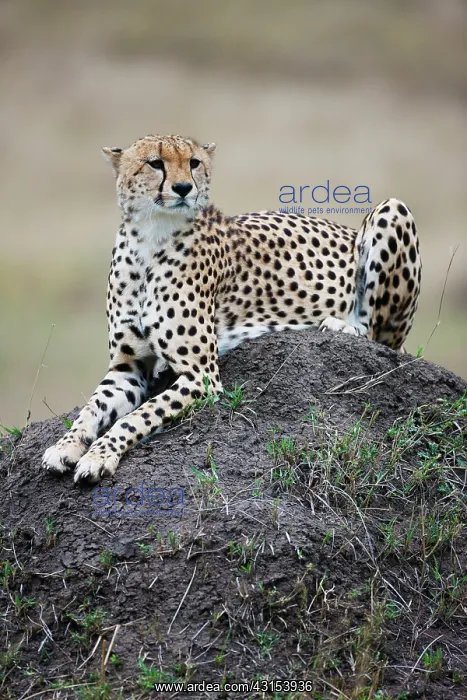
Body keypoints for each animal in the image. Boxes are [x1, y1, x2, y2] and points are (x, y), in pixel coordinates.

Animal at [42, 134, 421, 483]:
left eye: (194, 163)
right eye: (155, 163)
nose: (183, 188)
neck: (149, 238)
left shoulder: (202, 376)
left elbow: (137, 416)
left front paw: (99, 455)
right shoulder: (127, 367)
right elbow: (91, 409)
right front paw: (65, 446)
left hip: (393, 209)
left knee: (379, 336)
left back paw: (342, 325)